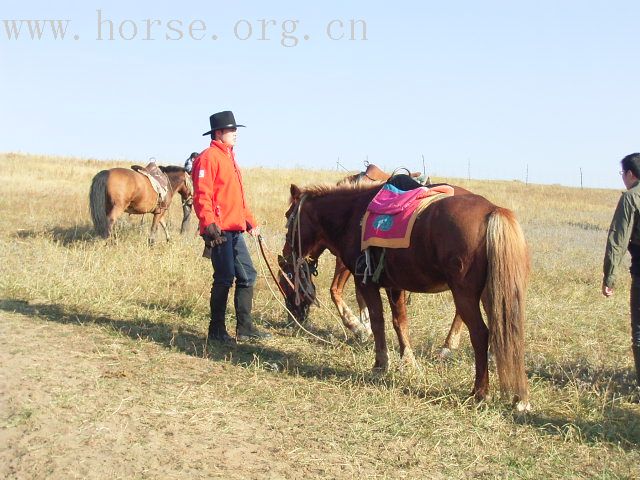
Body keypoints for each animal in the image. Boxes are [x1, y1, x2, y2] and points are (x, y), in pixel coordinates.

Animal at [280, 182, 528, 410]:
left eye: (288, 216)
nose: (285, 256)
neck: (351, 216)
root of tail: (492, 211)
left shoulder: (366, 282)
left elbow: (378, 322)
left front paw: (380, 363)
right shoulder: (395, 285)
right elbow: (400, 322)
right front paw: (408, 361)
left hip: (464, 293)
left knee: (480, 334)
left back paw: (479, 391)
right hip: (491, 294)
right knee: (507, 332)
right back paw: (519, 397)